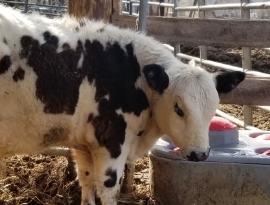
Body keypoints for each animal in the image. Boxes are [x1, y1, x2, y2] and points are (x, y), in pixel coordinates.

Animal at [0, 5, 245, 205]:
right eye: (178, 108)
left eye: (213, 110)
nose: (200, 154)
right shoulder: (112, 139)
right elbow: (108, 189)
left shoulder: (83, 144)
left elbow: (86, 181)